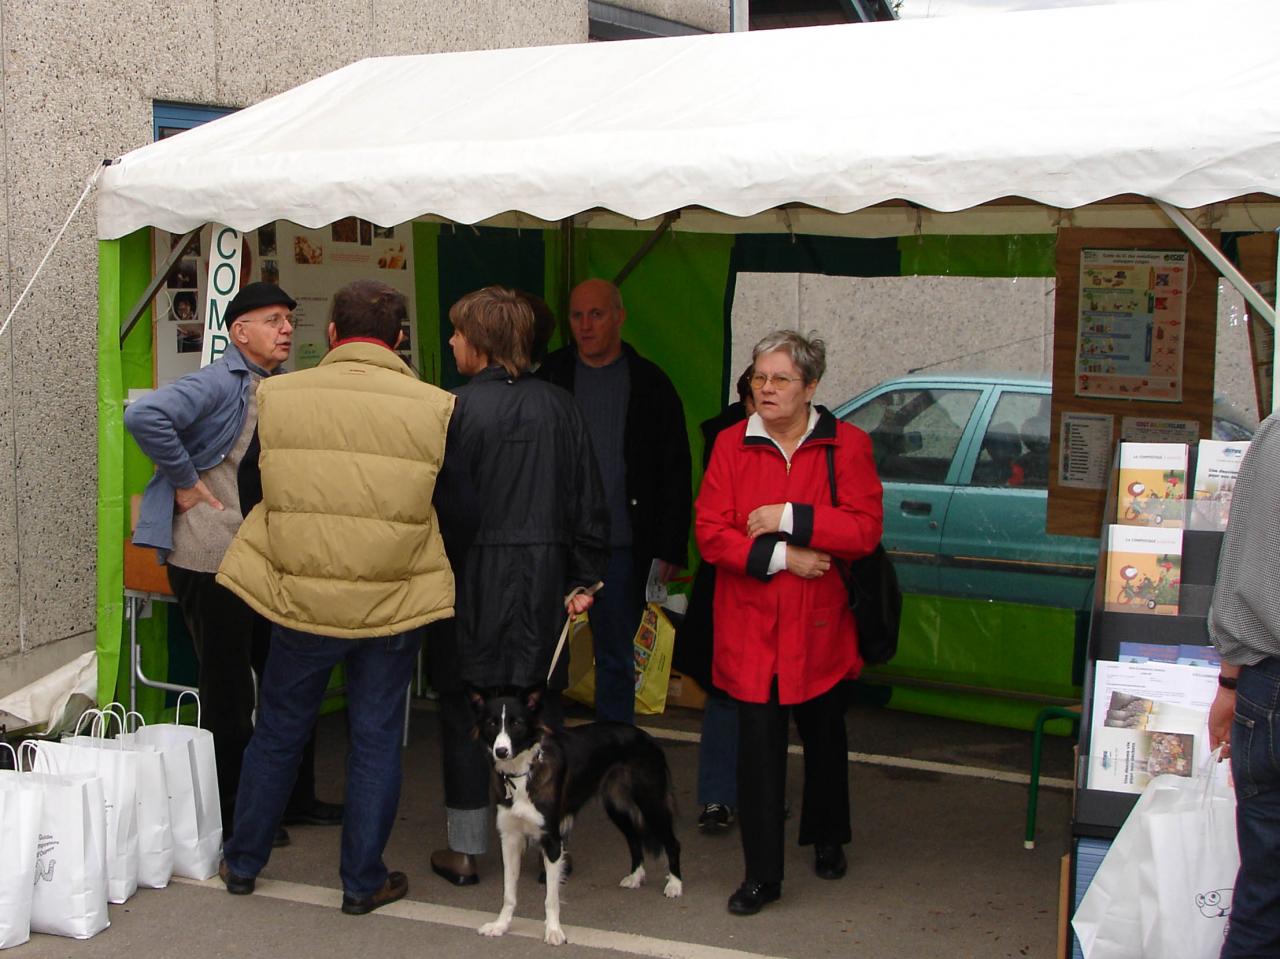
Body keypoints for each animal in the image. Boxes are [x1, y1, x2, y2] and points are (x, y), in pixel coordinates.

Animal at [471, 686, 686, 947]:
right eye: (492, 723)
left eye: (517, 723)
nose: (501, 751)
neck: (524, 772)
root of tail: (648, 738)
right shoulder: (510, 838)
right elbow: (509, 892)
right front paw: (501, 925)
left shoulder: (553, 841)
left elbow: (551, 898)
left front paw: (553, 931)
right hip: (616, 806)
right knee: (634, 838)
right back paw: (636, 876)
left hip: (651, 803)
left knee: (672, 842)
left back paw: (675, 884)